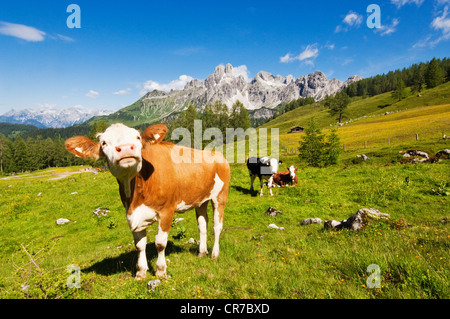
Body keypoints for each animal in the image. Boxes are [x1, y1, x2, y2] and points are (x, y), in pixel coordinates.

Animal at [65, 123, 230, 280]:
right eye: (104, 142)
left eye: (138, 137)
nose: (126, 148)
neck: (136, 194)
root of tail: (216, 153)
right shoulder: (132, 215)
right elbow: (139, 245)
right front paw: (141, 272)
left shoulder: (167, 211)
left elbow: (160, 243)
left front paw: (160, 271)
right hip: (201, 200)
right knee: (202, 224)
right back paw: (202, 252)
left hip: (220, 196)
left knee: (217, 226)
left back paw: (214, 254)